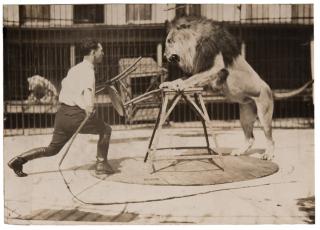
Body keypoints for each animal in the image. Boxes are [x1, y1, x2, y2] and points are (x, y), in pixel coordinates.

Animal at [161, 16, 314, 161]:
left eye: (169, 41)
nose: (164, 56)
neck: (193, 46)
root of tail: (270, 89)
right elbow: (184, 78)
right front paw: (168, 83)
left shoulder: (215, 68)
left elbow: (192, 79)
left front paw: (179, 85)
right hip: (245, 115)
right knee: (250, 138)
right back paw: (239, 151)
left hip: (264, 114)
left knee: (270, 139)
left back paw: (268, 154)